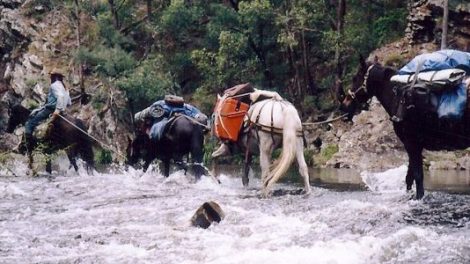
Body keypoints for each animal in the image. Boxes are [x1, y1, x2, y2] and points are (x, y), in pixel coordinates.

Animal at [342, 57, 470, 198]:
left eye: (355, 78)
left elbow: (418, 177)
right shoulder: (414, 146)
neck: (398, 98)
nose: (345, 103)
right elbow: (410, 177)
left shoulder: (411, 144)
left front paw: (418, 197)